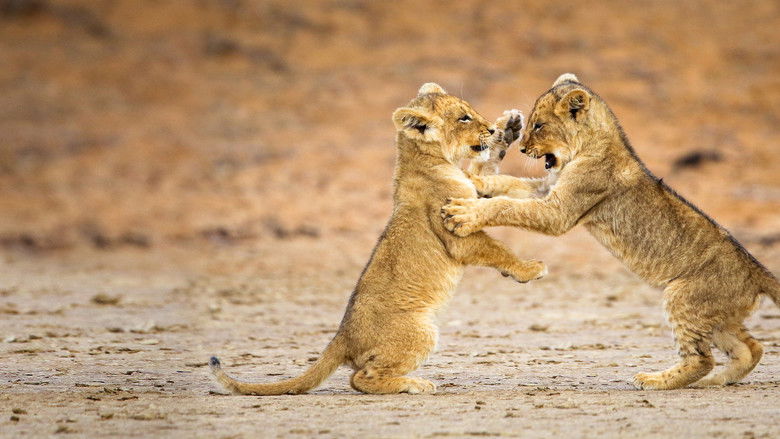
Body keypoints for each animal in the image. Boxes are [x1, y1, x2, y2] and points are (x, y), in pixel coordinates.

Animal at [209, 83, 546, 395]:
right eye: (463, 118)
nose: (490, 128)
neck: (426, 161)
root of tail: (342, 336)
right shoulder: (456, 231)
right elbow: (496, 248)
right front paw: (530, 269)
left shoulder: (473, 191)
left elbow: (486, 170)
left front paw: (510, 128)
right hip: (420, 332)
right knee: (361, 378)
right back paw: (415, 384)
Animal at [441, 73, 780, 390]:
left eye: (539, 125)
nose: (523, 148)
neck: (593, 144)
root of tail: (755, 270)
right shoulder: (549, 190)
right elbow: (508, 185)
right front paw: (473, 181)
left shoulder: (559, 212)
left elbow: (507, 205)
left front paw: (465, 214)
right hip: (719, 315)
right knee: (751, 348)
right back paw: (717, 381)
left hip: (685, 299)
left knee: (702, 358)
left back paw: (657, 380)